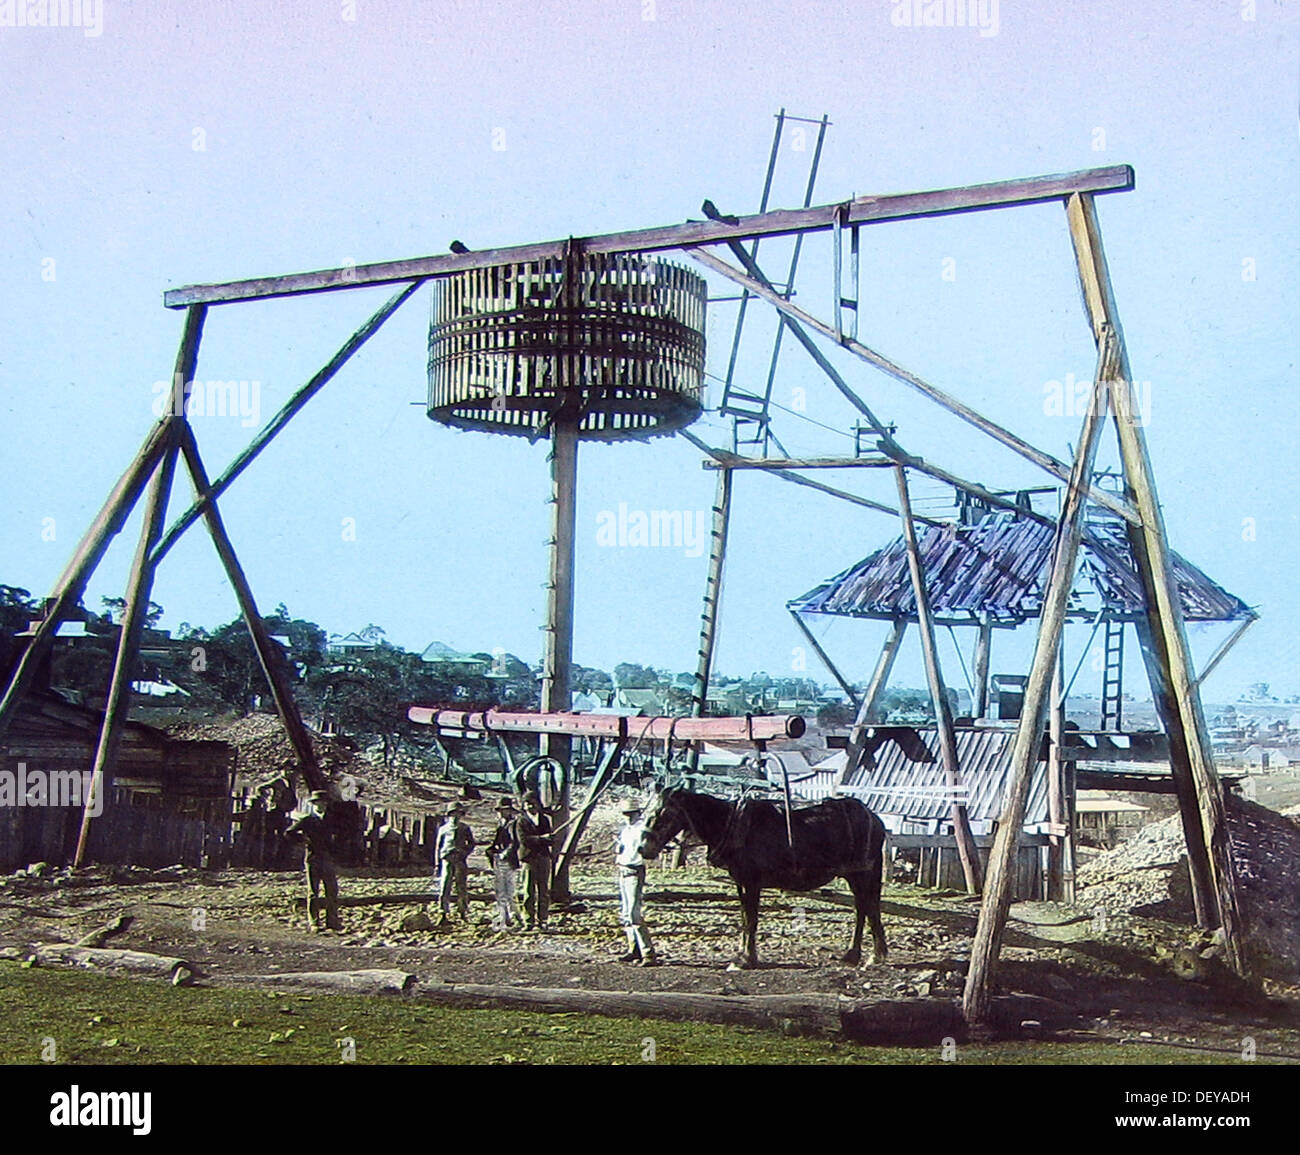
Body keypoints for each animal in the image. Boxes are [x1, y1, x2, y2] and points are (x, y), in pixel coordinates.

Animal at [637, 790, 889, 967]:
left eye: (663, 813)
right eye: (646, 811)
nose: (642, 849)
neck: (733, 827)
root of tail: (875, 819)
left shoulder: (752, 882)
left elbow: (751, 919)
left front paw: (747, 959)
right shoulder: (741, 883)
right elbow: (744, 918)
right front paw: (742, 954)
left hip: (863, 873)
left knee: (869, 908)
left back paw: (875, 956)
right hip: (854, 875)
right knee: (862, 909)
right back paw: (853, 955)